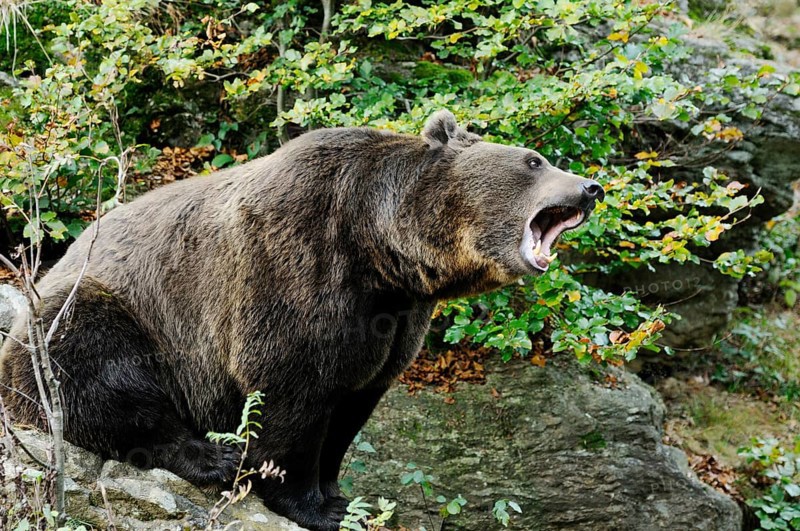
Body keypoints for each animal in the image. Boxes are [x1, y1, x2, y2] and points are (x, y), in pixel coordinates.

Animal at [0, 110, 604, 530]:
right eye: (533, 160)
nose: (591, 187)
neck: (380, 249)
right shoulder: (295, 265)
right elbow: (290, 390)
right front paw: (311, 504)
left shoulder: (393, 321)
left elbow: (352, 402)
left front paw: (341, 494)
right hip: (109, 312)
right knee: (88, 371)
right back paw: (212, 456)